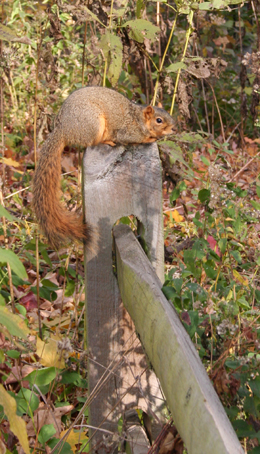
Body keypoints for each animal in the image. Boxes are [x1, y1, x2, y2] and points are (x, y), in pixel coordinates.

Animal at [32, 85, 175, 248]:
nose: (173, 128)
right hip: (93, 123)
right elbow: (132, 139)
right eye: (159, 120)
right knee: (92, 142)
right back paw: (107, 141)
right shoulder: (127, 132)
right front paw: (151, 138)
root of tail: (63, 130)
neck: (139, 119)